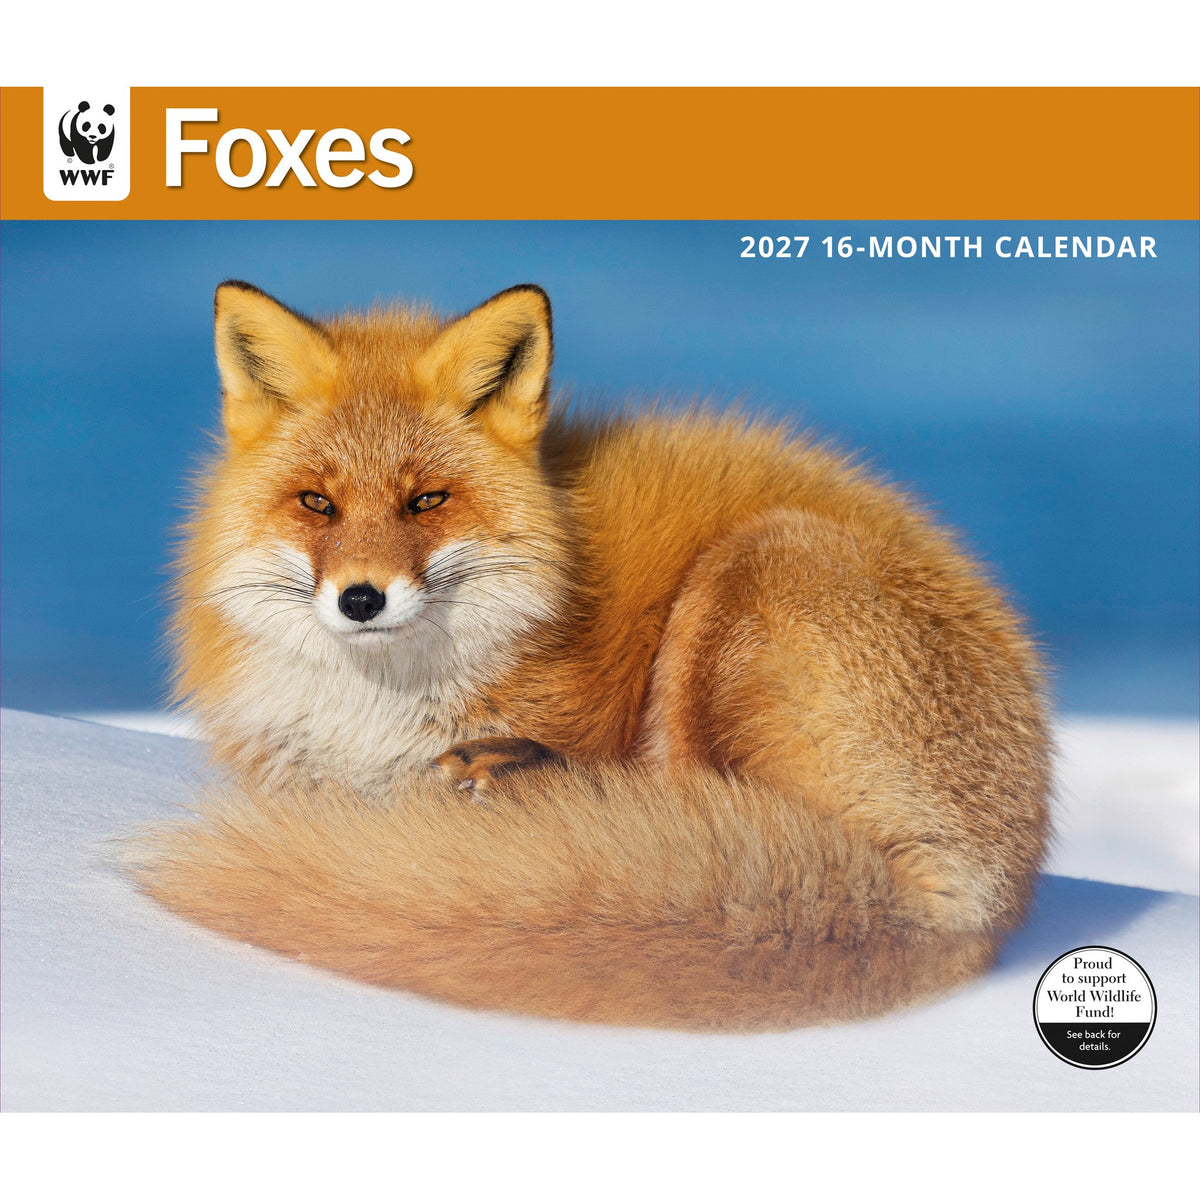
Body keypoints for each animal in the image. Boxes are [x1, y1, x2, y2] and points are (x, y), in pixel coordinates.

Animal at [134, 279, 1053, 1032]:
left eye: (426, 500)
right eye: (316, 503)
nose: (361, 598)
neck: (375, 717)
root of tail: (970, 901)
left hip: (743, 578)